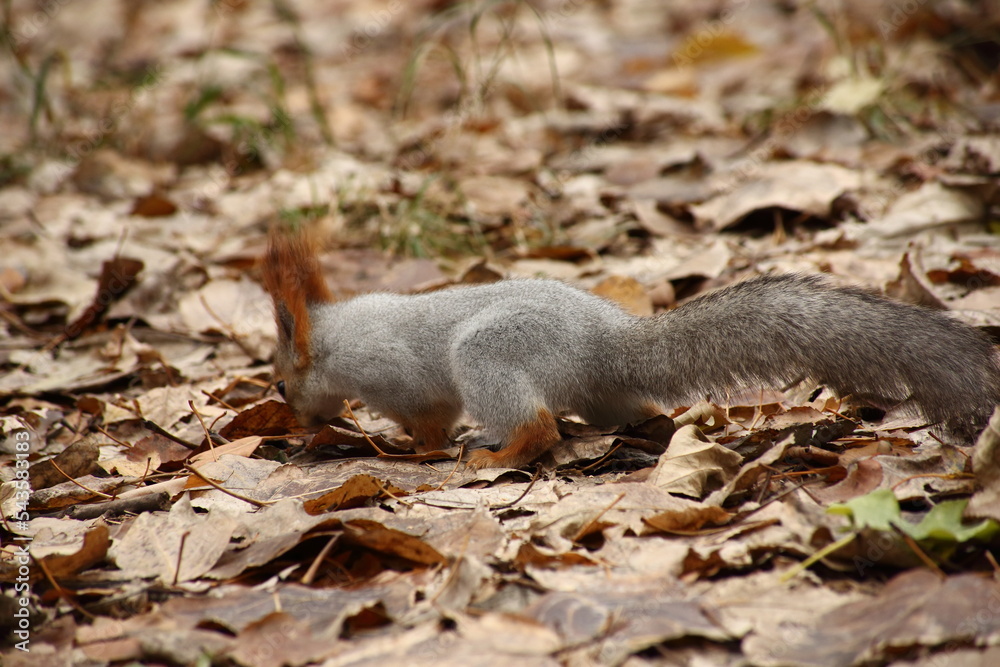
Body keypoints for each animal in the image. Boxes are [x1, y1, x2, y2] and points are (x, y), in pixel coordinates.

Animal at [261, 233, 1000, 469]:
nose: (296, 422)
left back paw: (500, 452)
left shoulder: (399, 378)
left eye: (279, 385)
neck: (341, 335)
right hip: (604, 395)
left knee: (539, 423)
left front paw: (415, 450)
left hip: (489, 354)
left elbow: (427, 420)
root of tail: (607, 344)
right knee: (640, 414)